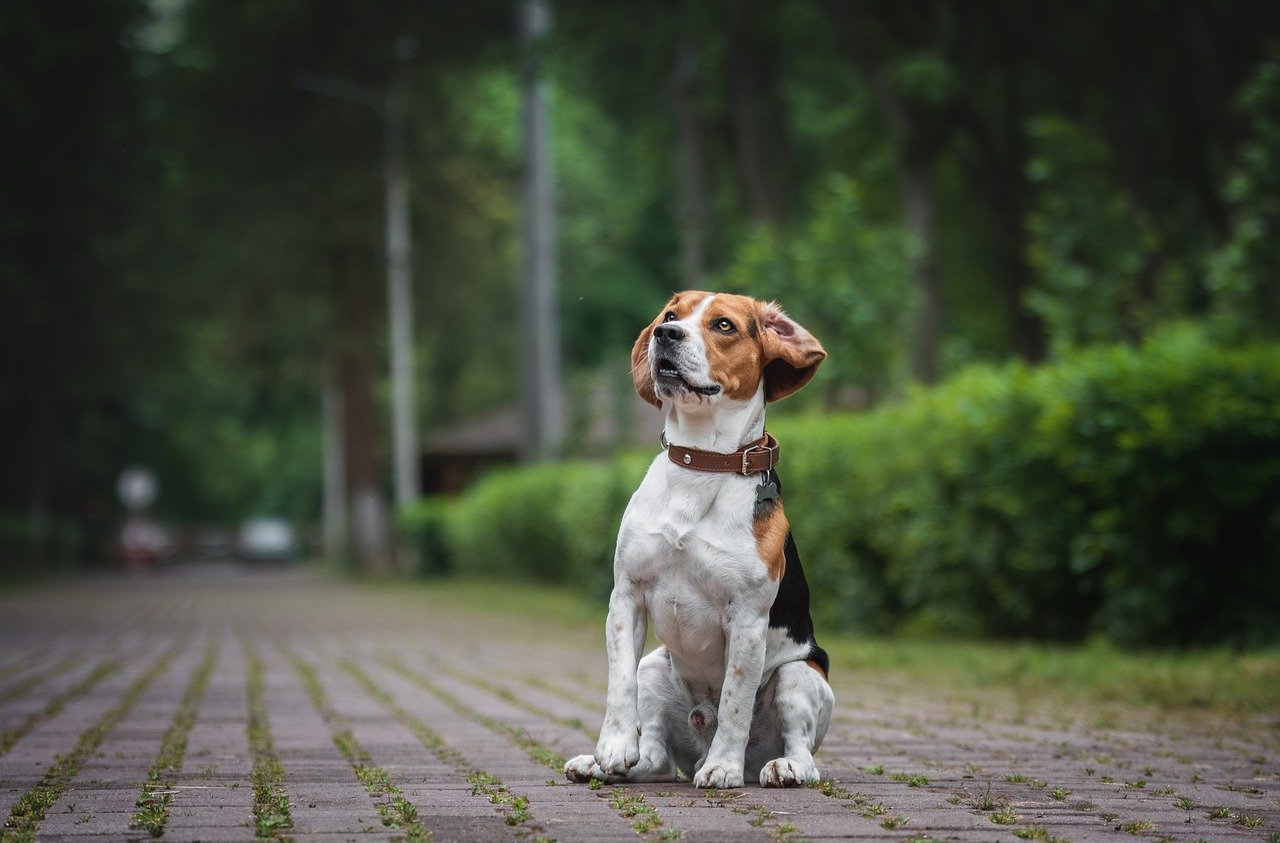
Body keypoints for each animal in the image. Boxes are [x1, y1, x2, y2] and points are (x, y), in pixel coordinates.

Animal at [565, 290, 834, 793]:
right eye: (672, 315)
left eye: (724, 325)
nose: (665, 334)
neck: (701, 461)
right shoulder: (626, 596)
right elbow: (618, 684)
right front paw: (611, 748)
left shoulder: (747, 620)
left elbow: (734, 700)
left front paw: (723, 768)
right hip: (654, 667)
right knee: (655, 757)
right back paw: (607, 765)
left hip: (797, 676)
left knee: (804, 755)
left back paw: (774, 767)